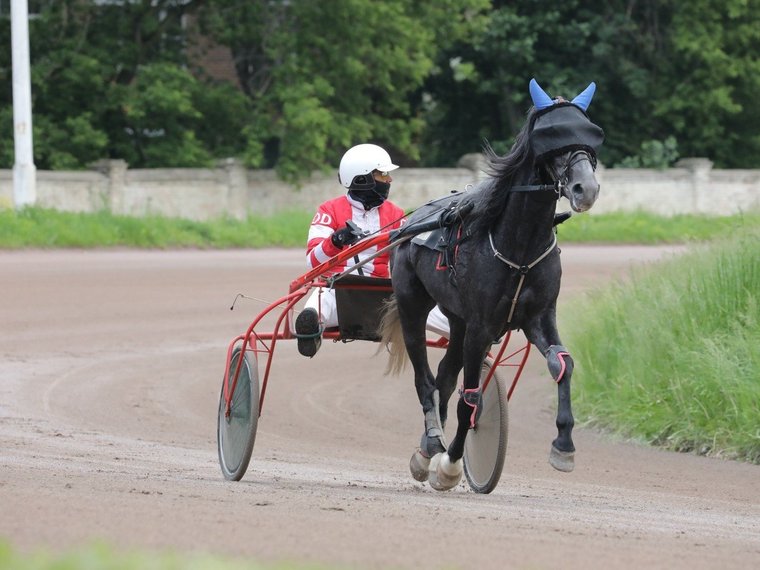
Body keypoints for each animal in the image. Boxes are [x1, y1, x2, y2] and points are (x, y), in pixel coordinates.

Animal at [380, 79, 604, 488]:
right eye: (552, 136)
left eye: (590, 133)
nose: (587, 188)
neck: (518, 248)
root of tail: (409, 223)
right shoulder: (482, 326)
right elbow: (471, 398)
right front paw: (451, 464)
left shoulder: (538, 317)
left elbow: (563, 365)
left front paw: (563, 447)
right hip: (412, 304)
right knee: (425, 379)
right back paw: (432, 445)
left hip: (457, 320)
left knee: (444, 377)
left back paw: (428, 447)